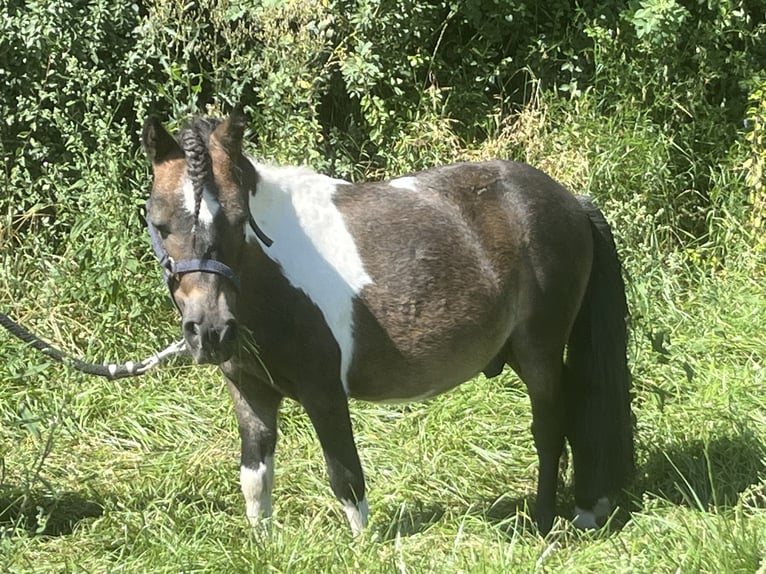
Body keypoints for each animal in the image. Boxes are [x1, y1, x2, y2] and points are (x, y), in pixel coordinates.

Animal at [141, 108, 632, 536]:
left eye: (241, 219)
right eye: (160, 224)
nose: (210, 331)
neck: (271, 278)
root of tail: (571, 201)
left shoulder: (324, 393)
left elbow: (345, 476)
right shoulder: (250, 390)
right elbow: (255, 478)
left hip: (538, 352)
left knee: (550, 426)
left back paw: (545, 520)